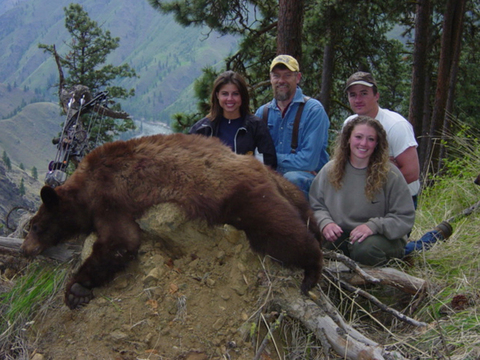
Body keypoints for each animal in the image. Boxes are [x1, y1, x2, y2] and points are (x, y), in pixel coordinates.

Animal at [21, 134, 322, 308]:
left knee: (279, 231)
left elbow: (121, 241)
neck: (85, 187)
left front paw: (77, 289)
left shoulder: (111, 196)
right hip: (279, 190)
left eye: (35, 226)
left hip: (241, 195)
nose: (25, 249)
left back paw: (312, 269)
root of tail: (261, 168)